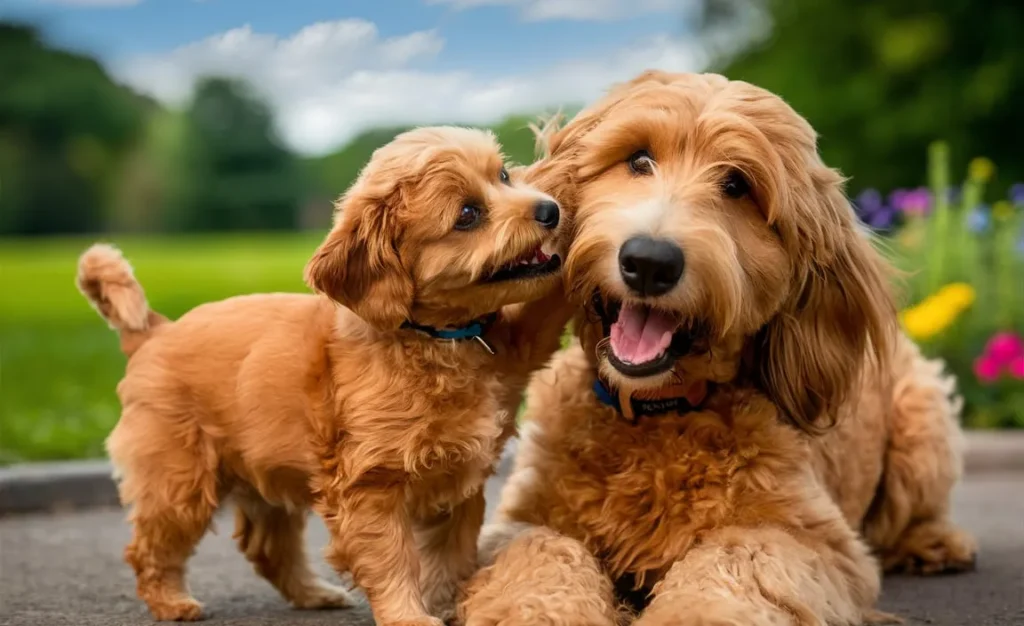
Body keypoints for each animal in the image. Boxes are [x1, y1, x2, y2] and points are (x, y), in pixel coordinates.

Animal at [77, 124, 577, 622]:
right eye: (468, 215)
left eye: (504, 176)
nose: (551, 209)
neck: (437, 338)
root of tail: (153, 330)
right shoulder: (371, 484)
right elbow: (393, 558)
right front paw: (410, 614)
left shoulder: (469, 456)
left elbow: (450, 554)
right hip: (178, 482)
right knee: (149, 547)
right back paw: (172, 602)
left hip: (266, 472)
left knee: (266, 546)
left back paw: (314, 594)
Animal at [458, 71, 974, 622]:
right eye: (639, 159)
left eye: (737, 185)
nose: (649, 262)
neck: (656, 416)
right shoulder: (520, 520)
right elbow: (543, 555)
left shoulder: (813, 539)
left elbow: (735, 556)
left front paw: (694, 611)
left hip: (924, 421)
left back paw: (933, 542)